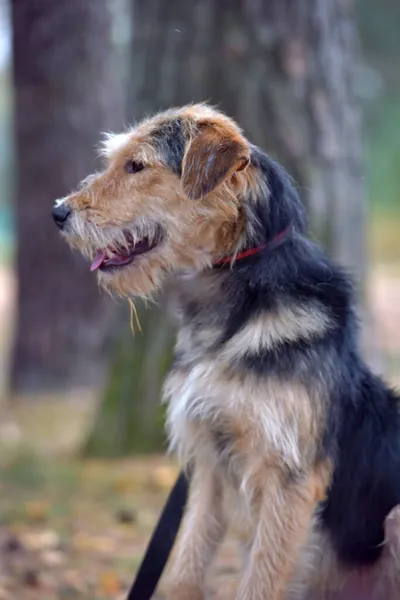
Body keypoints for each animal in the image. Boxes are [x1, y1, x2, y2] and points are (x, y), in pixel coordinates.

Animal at [51, 105, 400, 596]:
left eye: (136, 166)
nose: (57, 212)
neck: (231, 313)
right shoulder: (209, 468)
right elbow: (184, 570)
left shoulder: (289, 480)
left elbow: (261, 581)